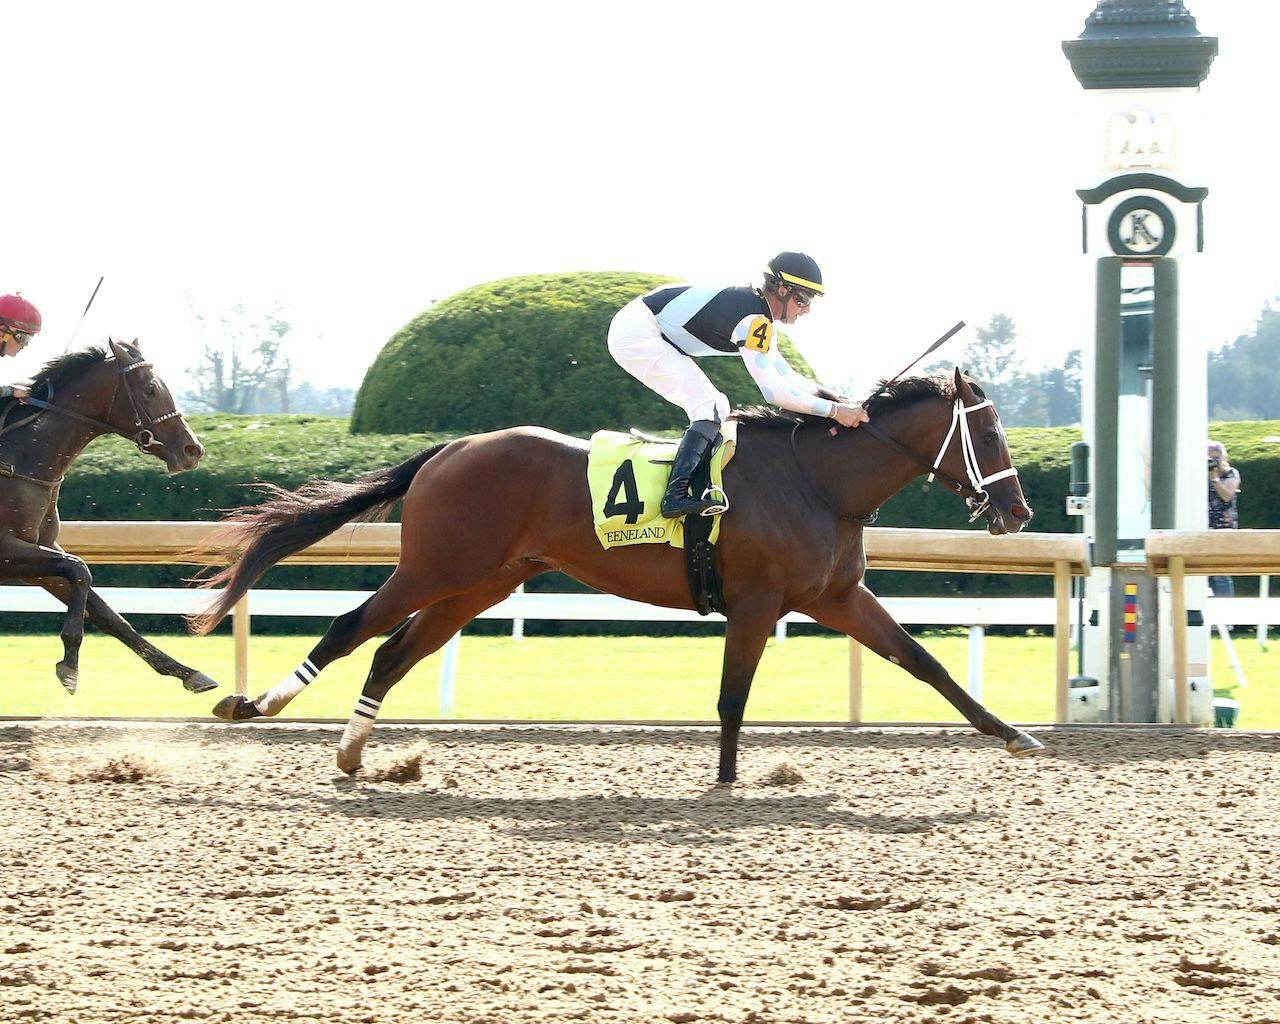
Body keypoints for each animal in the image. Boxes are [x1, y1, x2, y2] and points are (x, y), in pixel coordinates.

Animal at [0, 343, 215, 696]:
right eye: (150, 389)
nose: (192, 449)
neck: (20, 459)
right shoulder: (8, 552)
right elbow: (80, 569)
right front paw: (70, 662)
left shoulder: (37, 558)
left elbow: (106, 612)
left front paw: (188, 672)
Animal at [199, 371, 1039, 783]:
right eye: (991, 430)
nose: (1020, 509)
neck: (818, 482)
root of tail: (452, 446)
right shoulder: (758, 604)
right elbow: (732, 696)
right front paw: (728, 778)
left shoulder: (835, 597)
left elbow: (925, 663)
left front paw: (1015, 733)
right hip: (436, 565)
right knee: (350, 629)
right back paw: (254, 705)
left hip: (479, 584)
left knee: (392, 652)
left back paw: (352, 753)